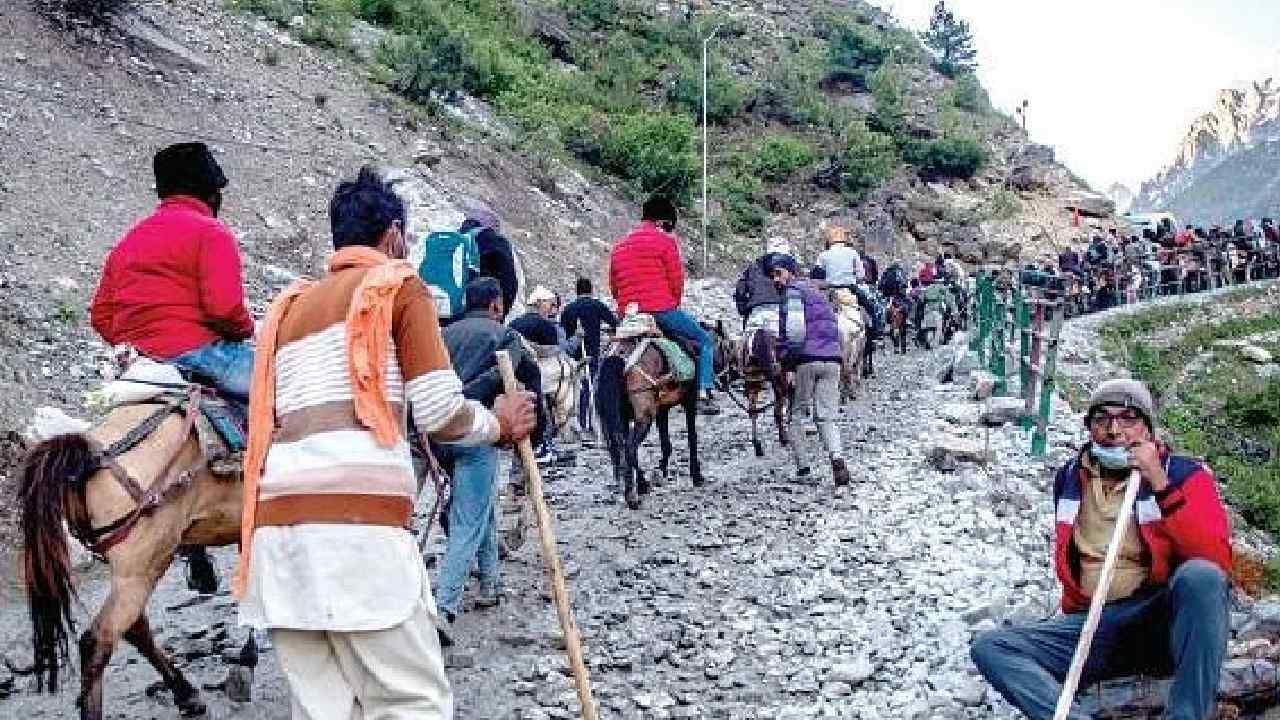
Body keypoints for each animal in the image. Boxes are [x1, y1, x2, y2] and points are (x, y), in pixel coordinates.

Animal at [17, 358, 250, 717]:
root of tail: (89, 455)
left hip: (132, 567)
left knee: (135, 627)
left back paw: (185, 692)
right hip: (143, 565)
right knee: (99, 639)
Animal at [593, 311, 706, 507]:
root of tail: (618, 358)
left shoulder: (661, 409)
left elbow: (665, 441)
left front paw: (662, 468)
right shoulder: (689, 402)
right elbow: (692, 436)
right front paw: (696, 475)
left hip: (623, 417)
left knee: (623, 447)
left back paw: (641, 485)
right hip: (645, 416)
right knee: (630, 447)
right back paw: (633, 495)